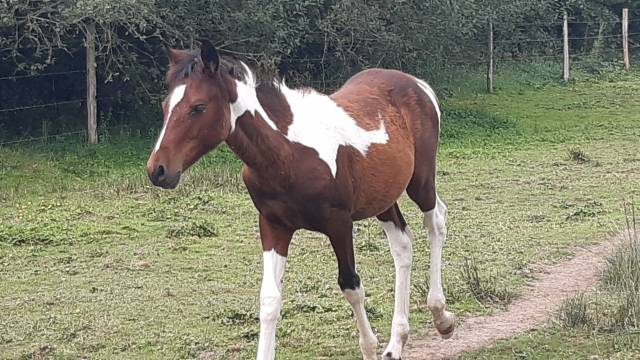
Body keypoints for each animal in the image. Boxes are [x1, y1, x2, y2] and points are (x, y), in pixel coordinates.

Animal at [147, 41, 452, 360]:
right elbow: (270, 299)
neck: (287, 155)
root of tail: (417, 83)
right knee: (402, 244)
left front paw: (369, 347)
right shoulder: (273, 226)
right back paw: (396, 342)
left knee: (436, 221)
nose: (158, 170)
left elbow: (351, 285)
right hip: (382, 198)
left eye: (198, 107)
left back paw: (441, 316)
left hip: (420, 182)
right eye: (165, 107)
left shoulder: (339, 224)